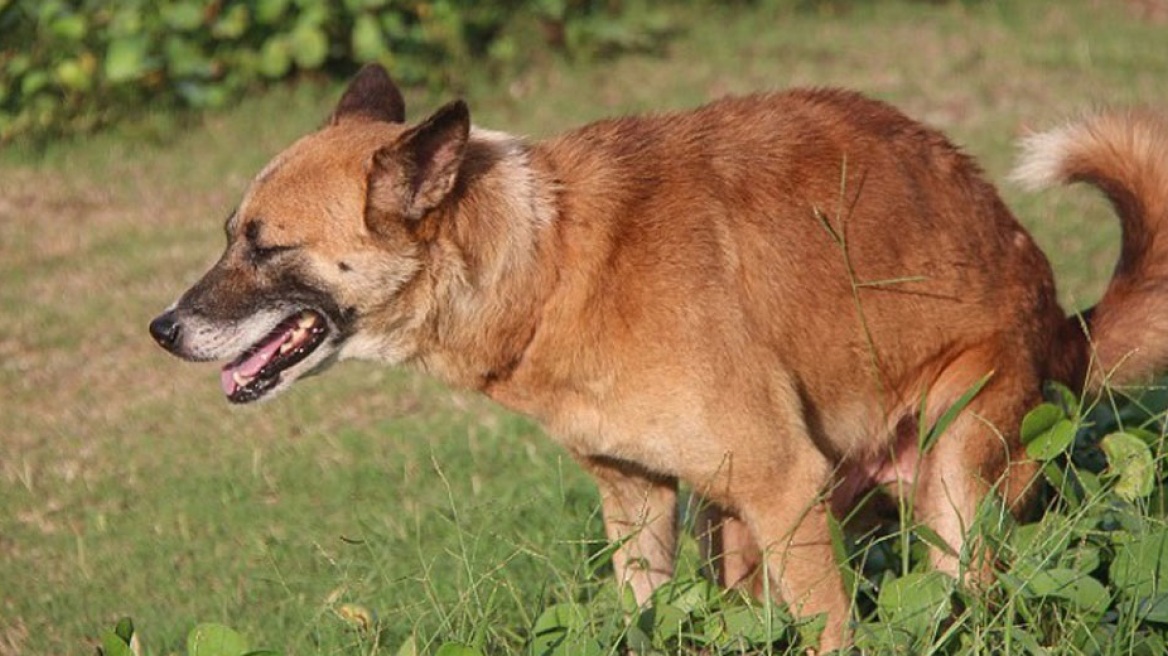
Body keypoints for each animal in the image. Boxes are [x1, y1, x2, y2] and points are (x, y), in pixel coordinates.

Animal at [153, 62, 1168, 648]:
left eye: (266, 247)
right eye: (229, 235)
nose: (162, 330)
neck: (552, 262)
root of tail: (1061, 321)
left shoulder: (782, 485)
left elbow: (831, 631)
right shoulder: (639, 503)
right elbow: (647, 620)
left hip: (949, 480)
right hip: (738, 519)